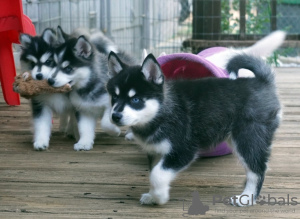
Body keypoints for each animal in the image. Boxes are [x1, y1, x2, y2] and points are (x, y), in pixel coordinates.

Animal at [106, 52, 282, 206]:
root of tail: (261, 82)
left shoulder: (184, 150)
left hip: (247, 138)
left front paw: (160, 197)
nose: (115, 116)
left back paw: (247, 197)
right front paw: (152, 196)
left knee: (257, 169)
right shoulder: (155, 151)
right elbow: (153, 173)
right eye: (114, 97)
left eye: (135, 99)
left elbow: (157, 175)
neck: (162, 111)